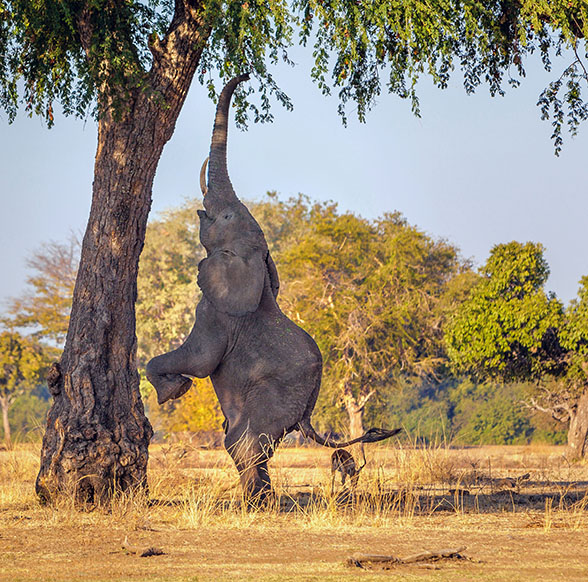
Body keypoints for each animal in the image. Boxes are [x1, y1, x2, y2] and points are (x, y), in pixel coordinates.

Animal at [147, 73, 402, 502]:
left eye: (226, 216)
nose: (248, 74)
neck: (257, 263)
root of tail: (308, 411)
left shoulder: (214, 314)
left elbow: (200, 361)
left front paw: (174, 390)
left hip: (276, 393)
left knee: (243, 440)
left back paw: (254, 505)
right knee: (245, 441)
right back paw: (261, 500)